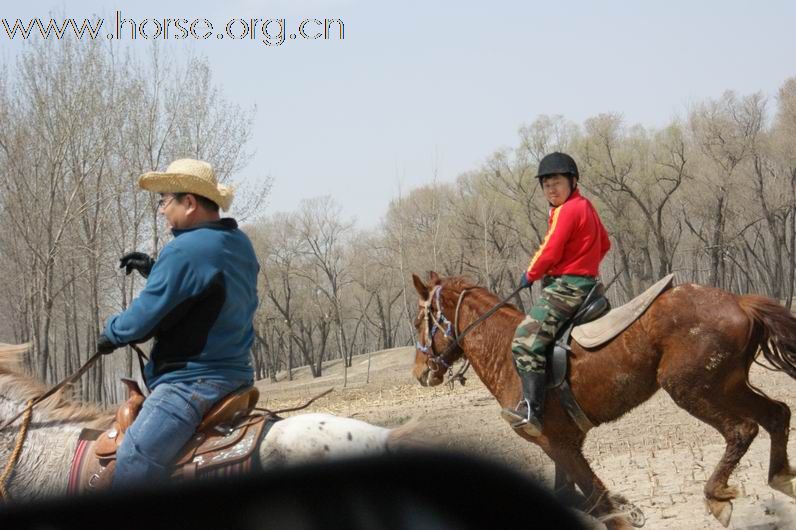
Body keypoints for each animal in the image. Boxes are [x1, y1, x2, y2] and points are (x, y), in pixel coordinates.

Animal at [410, 272, 796, 528]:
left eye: (418, 321)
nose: (420, 374)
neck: (504, 351)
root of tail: (738, 301)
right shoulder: (562, 445)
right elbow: (573, 496)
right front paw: (628, 505)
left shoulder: (558, 444)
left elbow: (599, 502)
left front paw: (623, 510)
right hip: (728, 385)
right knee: (776, 415)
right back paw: (780, 478)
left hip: (692, 389)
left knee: (741, 429)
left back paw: (717, 496)